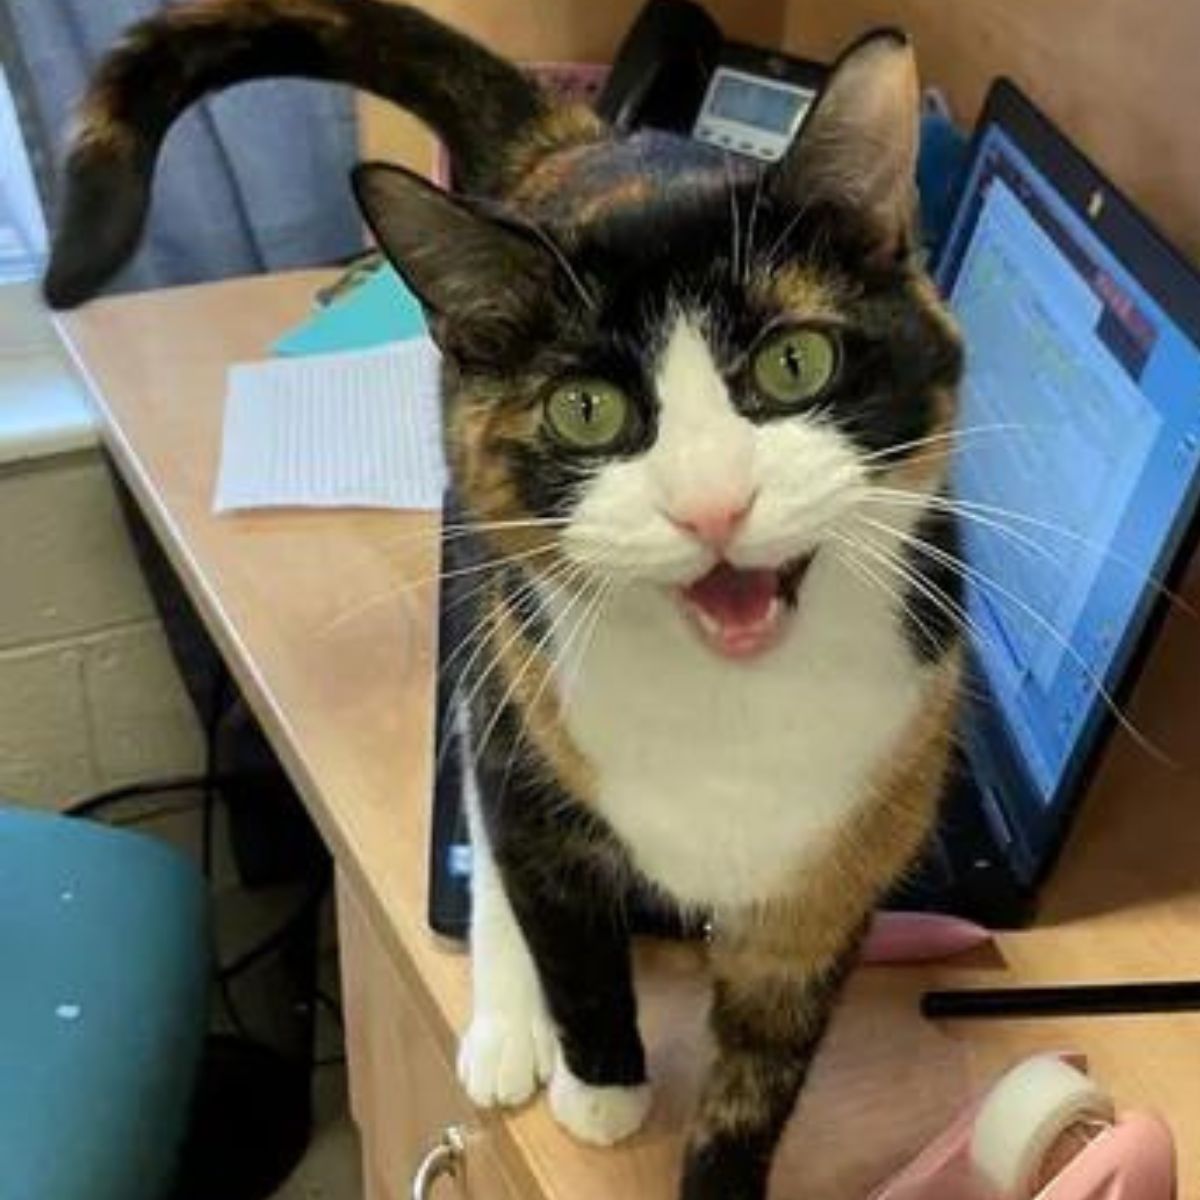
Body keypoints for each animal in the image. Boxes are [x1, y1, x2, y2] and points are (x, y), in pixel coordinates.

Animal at [44, 4, 964, 1195]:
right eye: (585, 409)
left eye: (795, 361)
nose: (712, 505)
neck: (730, 700)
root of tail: (580, 141)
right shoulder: (533, 765)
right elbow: (562, 927)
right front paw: (600, 1087)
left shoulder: (838, 855)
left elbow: (765, 1065)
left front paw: (721, 1160)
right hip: (492, 622)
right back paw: (506, 1030)